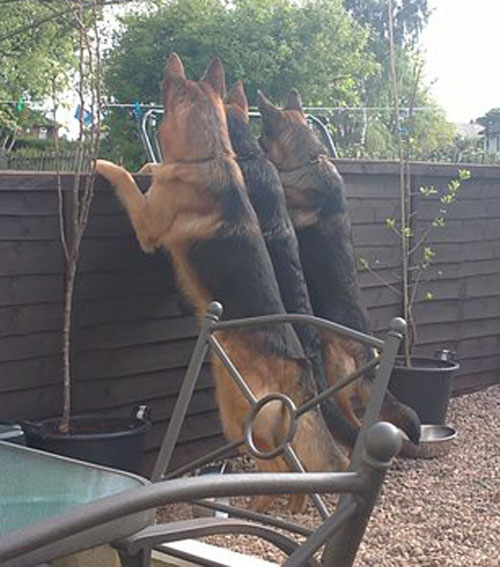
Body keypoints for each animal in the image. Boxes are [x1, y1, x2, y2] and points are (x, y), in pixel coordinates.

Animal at [258, 89, 422, 446]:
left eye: (262, 136)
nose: (255, 144)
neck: (309, 161)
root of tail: (368, 351)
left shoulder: (292, 193)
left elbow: (281, 181)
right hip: (340, 383)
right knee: (350, 417)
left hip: (339, 380)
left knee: (347, 418)